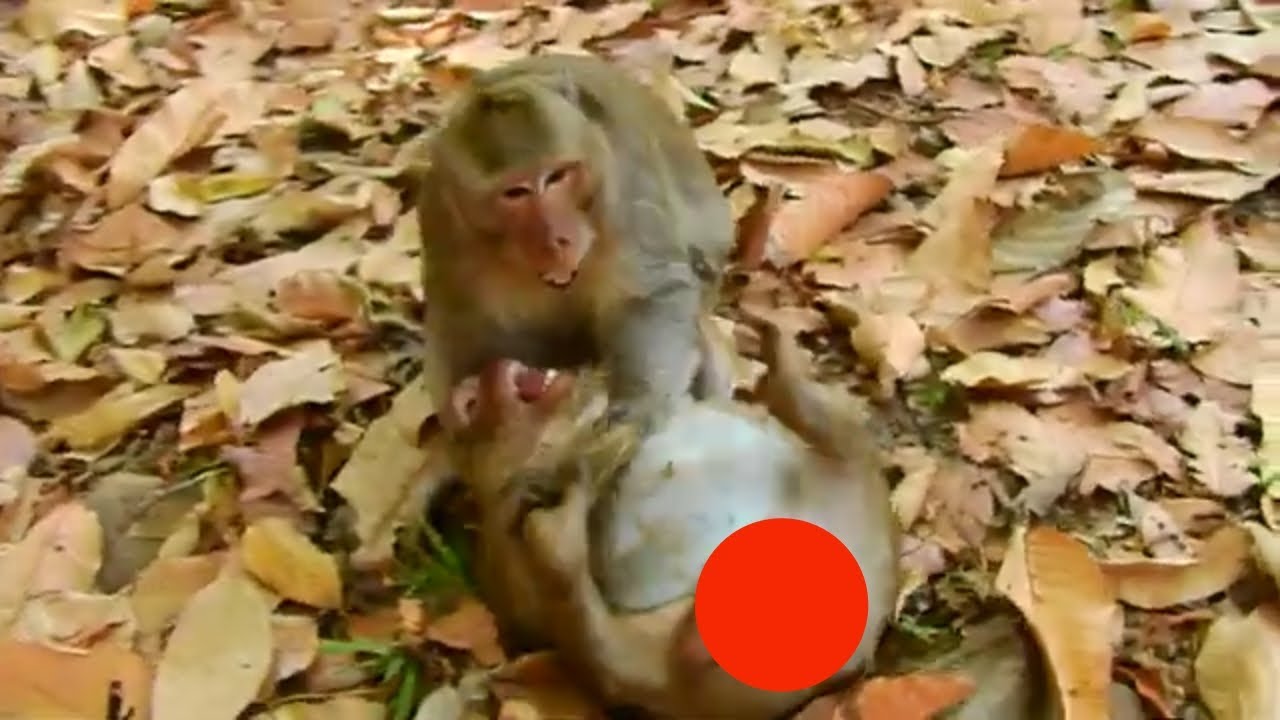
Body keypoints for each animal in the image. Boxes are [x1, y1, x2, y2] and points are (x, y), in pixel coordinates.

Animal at [416, 53, 736, 438]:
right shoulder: (445, 222)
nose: (556, 239)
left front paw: (637, 404)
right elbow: (467, 329)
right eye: (515, 193)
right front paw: (479, 404)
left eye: (557, 177)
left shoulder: (625, 189)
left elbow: (650, 293)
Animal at [441, 318, 899, 720]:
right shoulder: (503, 551)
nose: (486, 371)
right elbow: (524, 554)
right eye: (470, 407)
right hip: (654, 662)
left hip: (854, 478)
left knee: (831, 428)